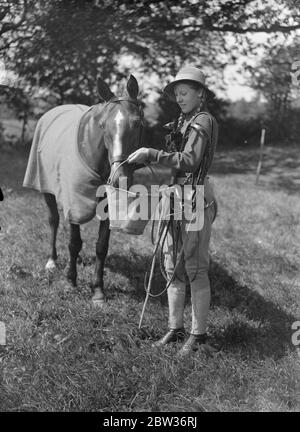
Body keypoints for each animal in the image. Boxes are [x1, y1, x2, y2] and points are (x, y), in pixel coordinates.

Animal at [23, 74, 144, 304]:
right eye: (103, 125)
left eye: (138, 123)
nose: (119, 178)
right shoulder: (75, 201)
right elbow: (74, 242)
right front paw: (70, 281)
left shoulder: (107, 206)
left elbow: (101, 246)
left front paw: (97, 290)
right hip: (47, 191)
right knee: (53, 221)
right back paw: (52, 261)